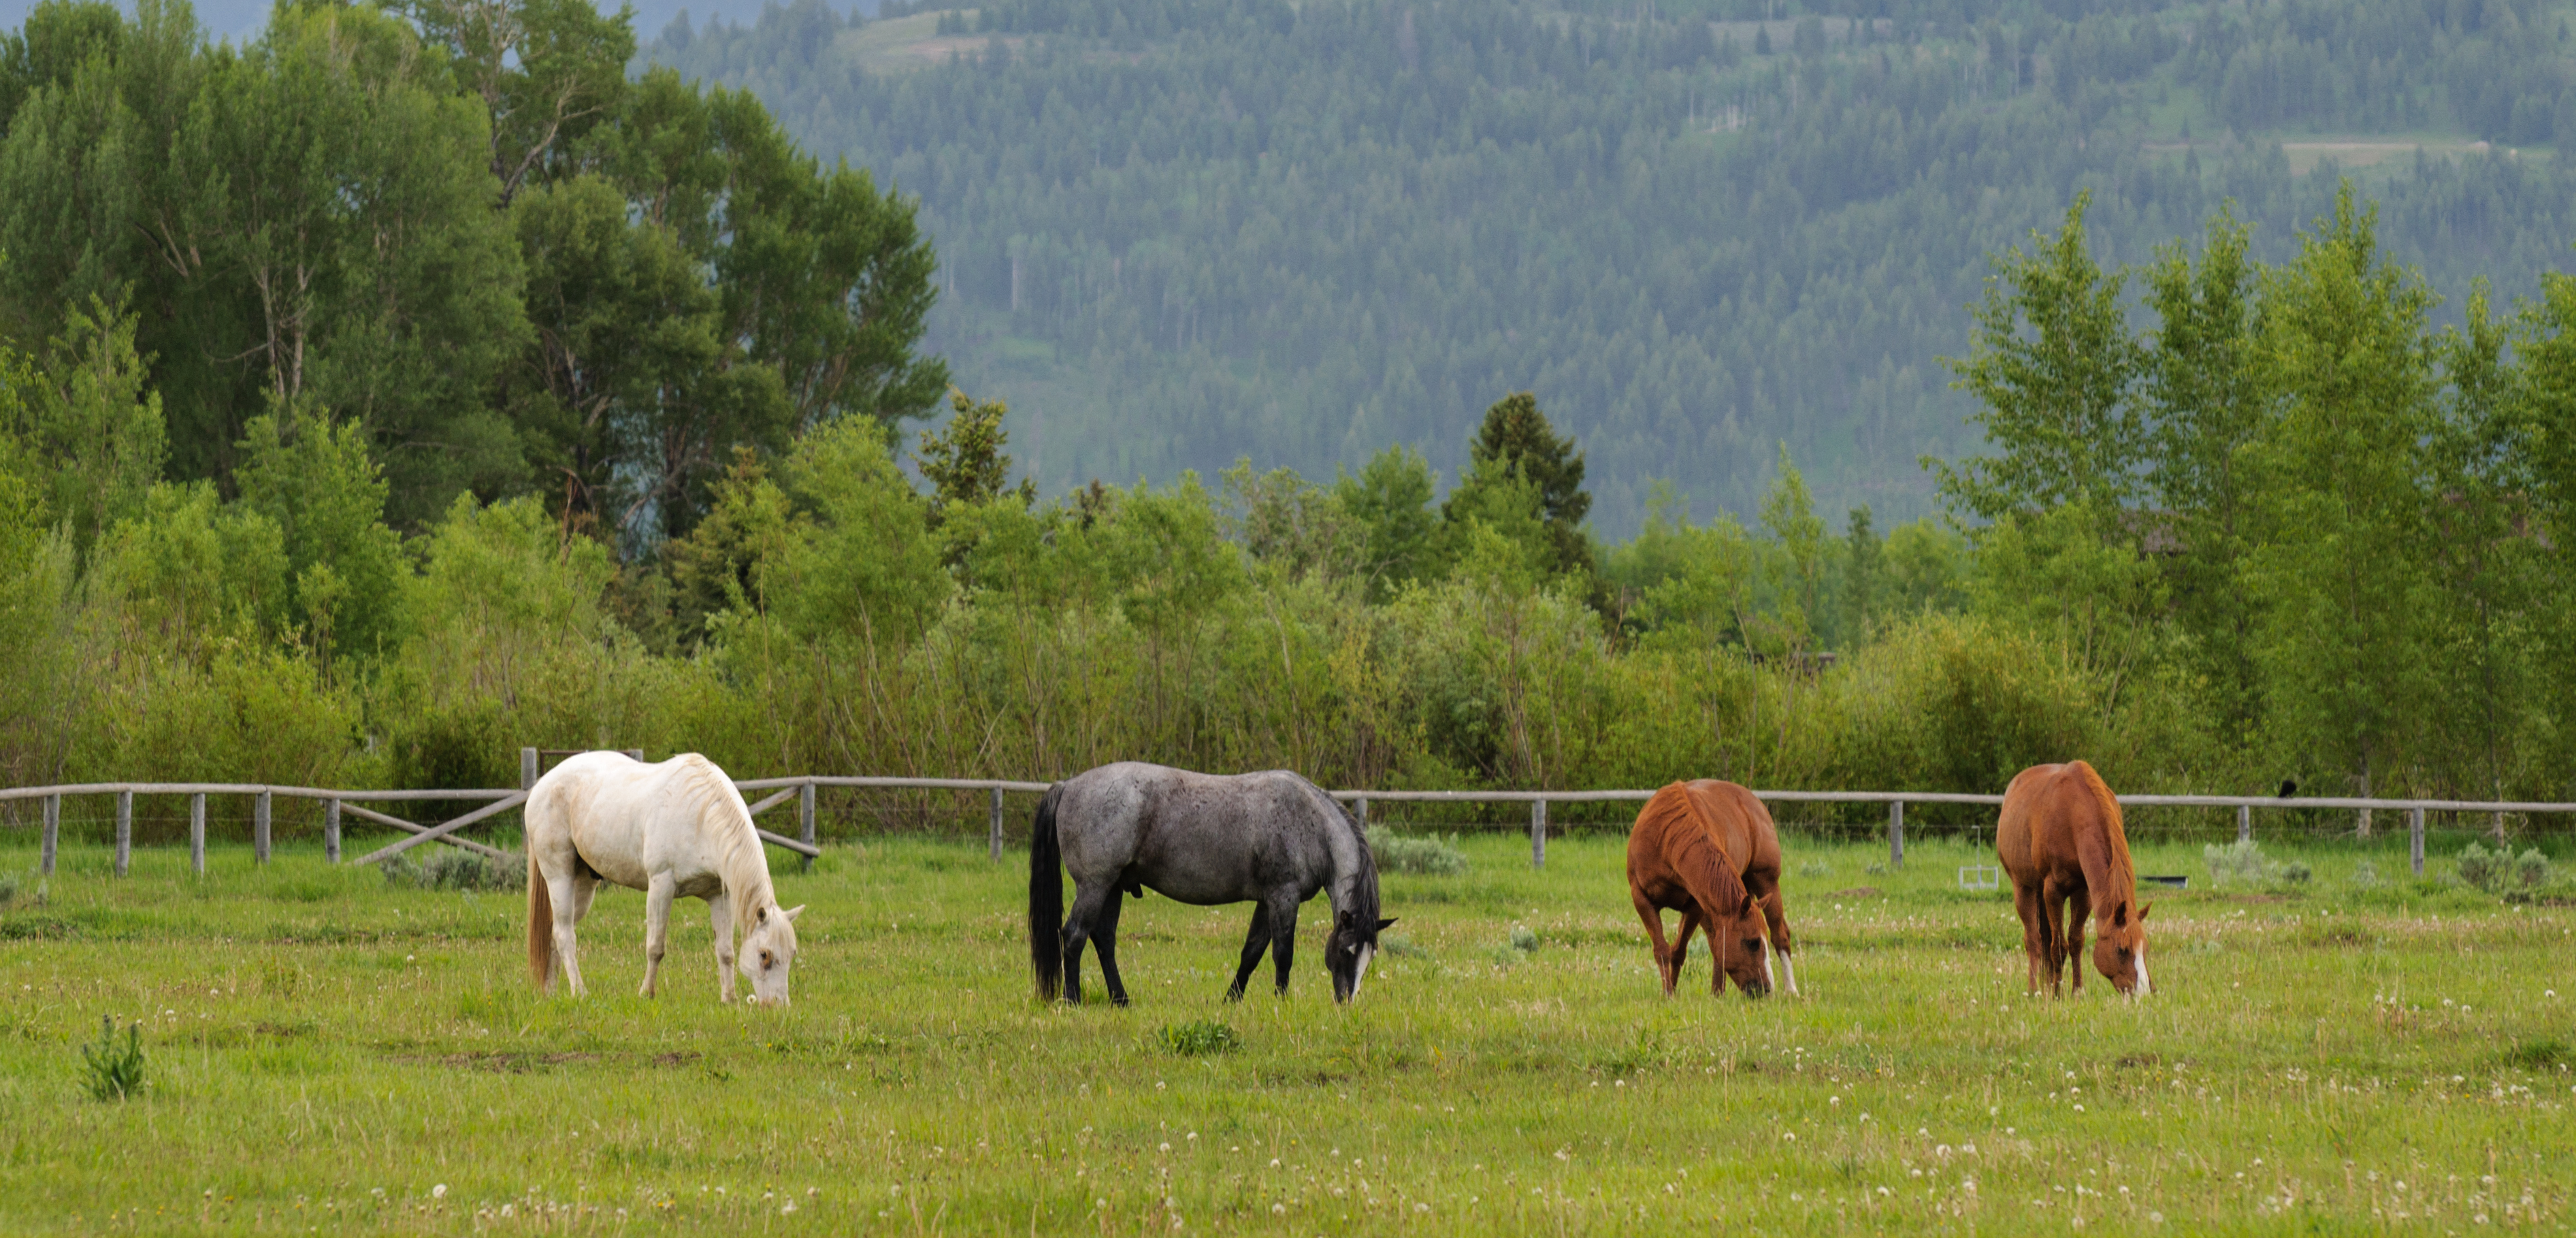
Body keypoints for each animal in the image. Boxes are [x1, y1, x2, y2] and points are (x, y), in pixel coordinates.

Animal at [524, 751, 805, 1006]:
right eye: (764, 954)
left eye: (792, 953)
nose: (779, 1006)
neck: (700, 817)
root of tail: (541, 786)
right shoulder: (661, 886)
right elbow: (655, 947)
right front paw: (646, 993)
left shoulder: (719, 896)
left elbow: (725, 952)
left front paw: (729, 999)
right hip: (559, 876)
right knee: (564, 935)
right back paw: (580, 992)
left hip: (584, 884)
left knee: (556, 933)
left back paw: (551, 991)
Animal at [1028, 762, 1393, 1006]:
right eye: (1345, 951)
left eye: (1370, 957)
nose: (1346, 1002)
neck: (1310, 823)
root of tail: (1069, 785)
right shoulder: (1283, 897)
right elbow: (1282, 954)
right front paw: (1282, 1001)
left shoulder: (1267, 901)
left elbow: (1252, 952)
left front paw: (1232, 999)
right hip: (1094, 886)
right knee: (1074, 935)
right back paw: (1073, 1000)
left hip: (1113, 887)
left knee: (1104, 939)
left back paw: (1121, 1000)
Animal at [1626, 780, 1798, 998]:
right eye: (1752, 943)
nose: (1765, 989)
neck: (1666, 841)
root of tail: (1753, 803)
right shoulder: (1642, 899)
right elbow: (1664, 950)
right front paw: (1669, 994)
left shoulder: (1696, 906)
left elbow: (1680, 950)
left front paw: (1672, 992)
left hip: (1767, 881)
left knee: (1780, 934)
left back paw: (1791, 989)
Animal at [1995, 760, 2150, 998]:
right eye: (2121, 950)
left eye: (2145, 949)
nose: (2144, 992)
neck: (2075, 813)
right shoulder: (2053, 891)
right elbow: (2059, 946)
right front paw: (2058, 994)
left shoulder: (2083, 892)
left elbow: (2076, 941)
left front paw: (2077, 991)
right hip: (2024, 887)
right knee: (2033, 940)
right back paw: (2034, 989)